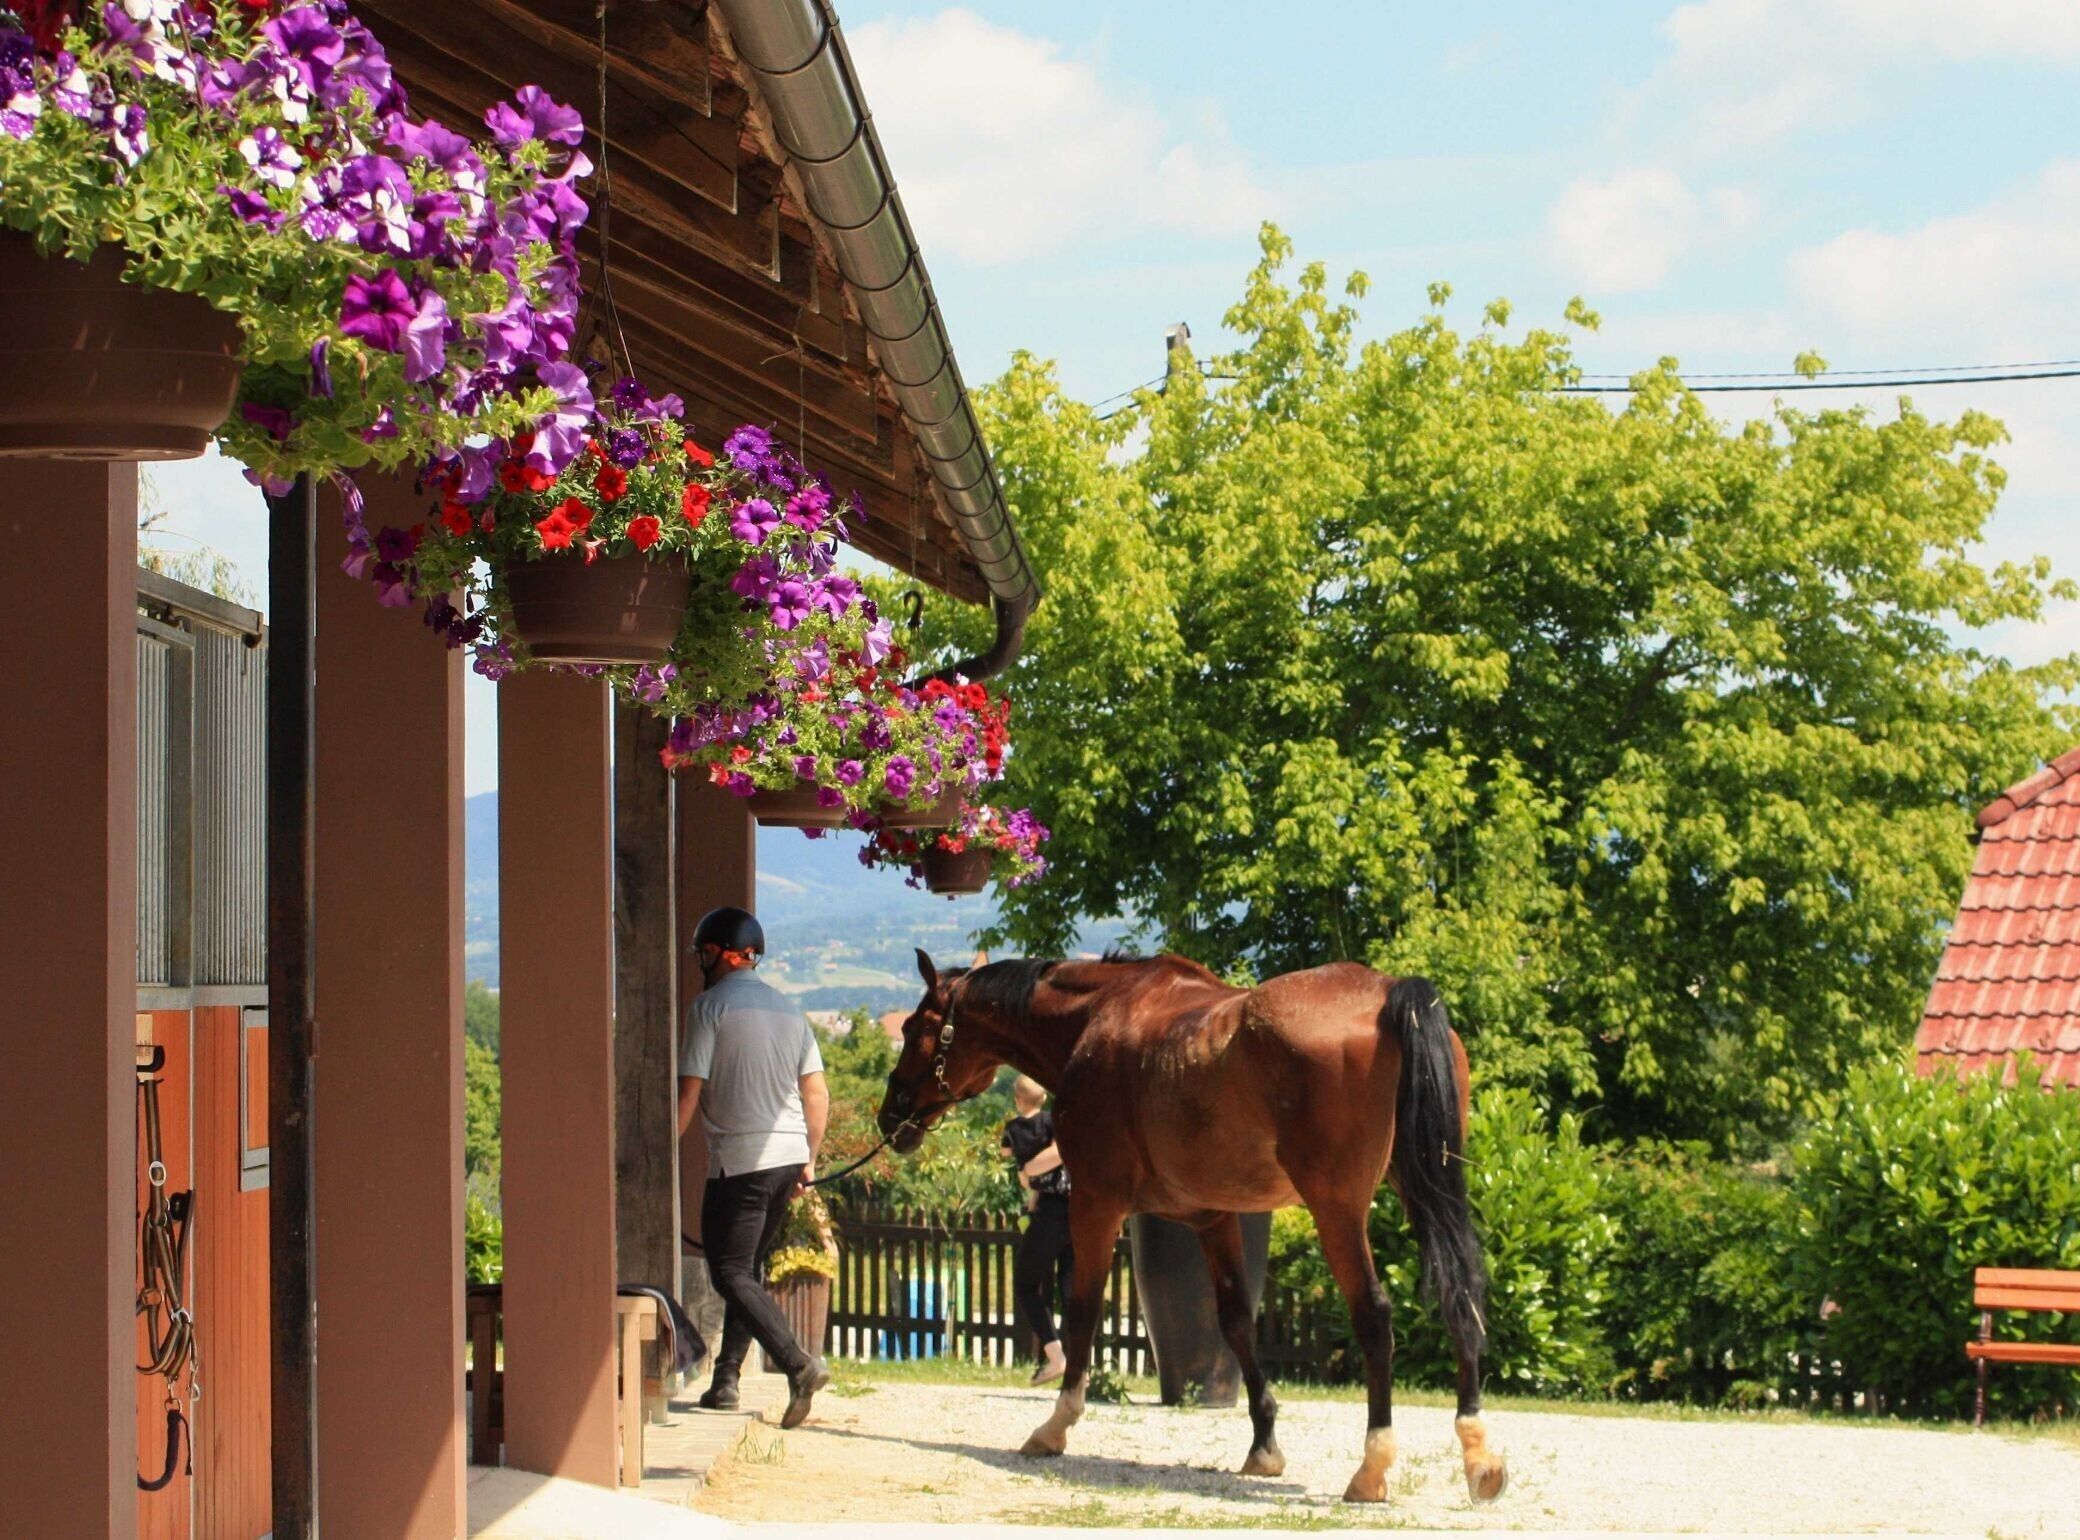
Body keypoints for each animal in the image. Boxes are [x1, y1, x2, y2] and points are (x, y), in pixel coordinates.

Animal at [877, 949, 1507, 1507]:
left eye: (913, 1027)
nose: (890, 1116)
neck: (1096, 1019)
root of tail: (1387, 992)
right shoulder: (1214, 1217)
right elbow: (1235, 1323)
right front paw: (1264, 1447)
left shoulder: (1096, 1204)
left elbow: (1081, 1311)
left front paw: (1055, 1426)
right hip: (1428, 1186)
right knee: (1461, 1293)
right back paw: (1478, 1454)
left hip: (1337, 1207)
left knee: (1374, 1315)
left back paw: (1371, 1468)